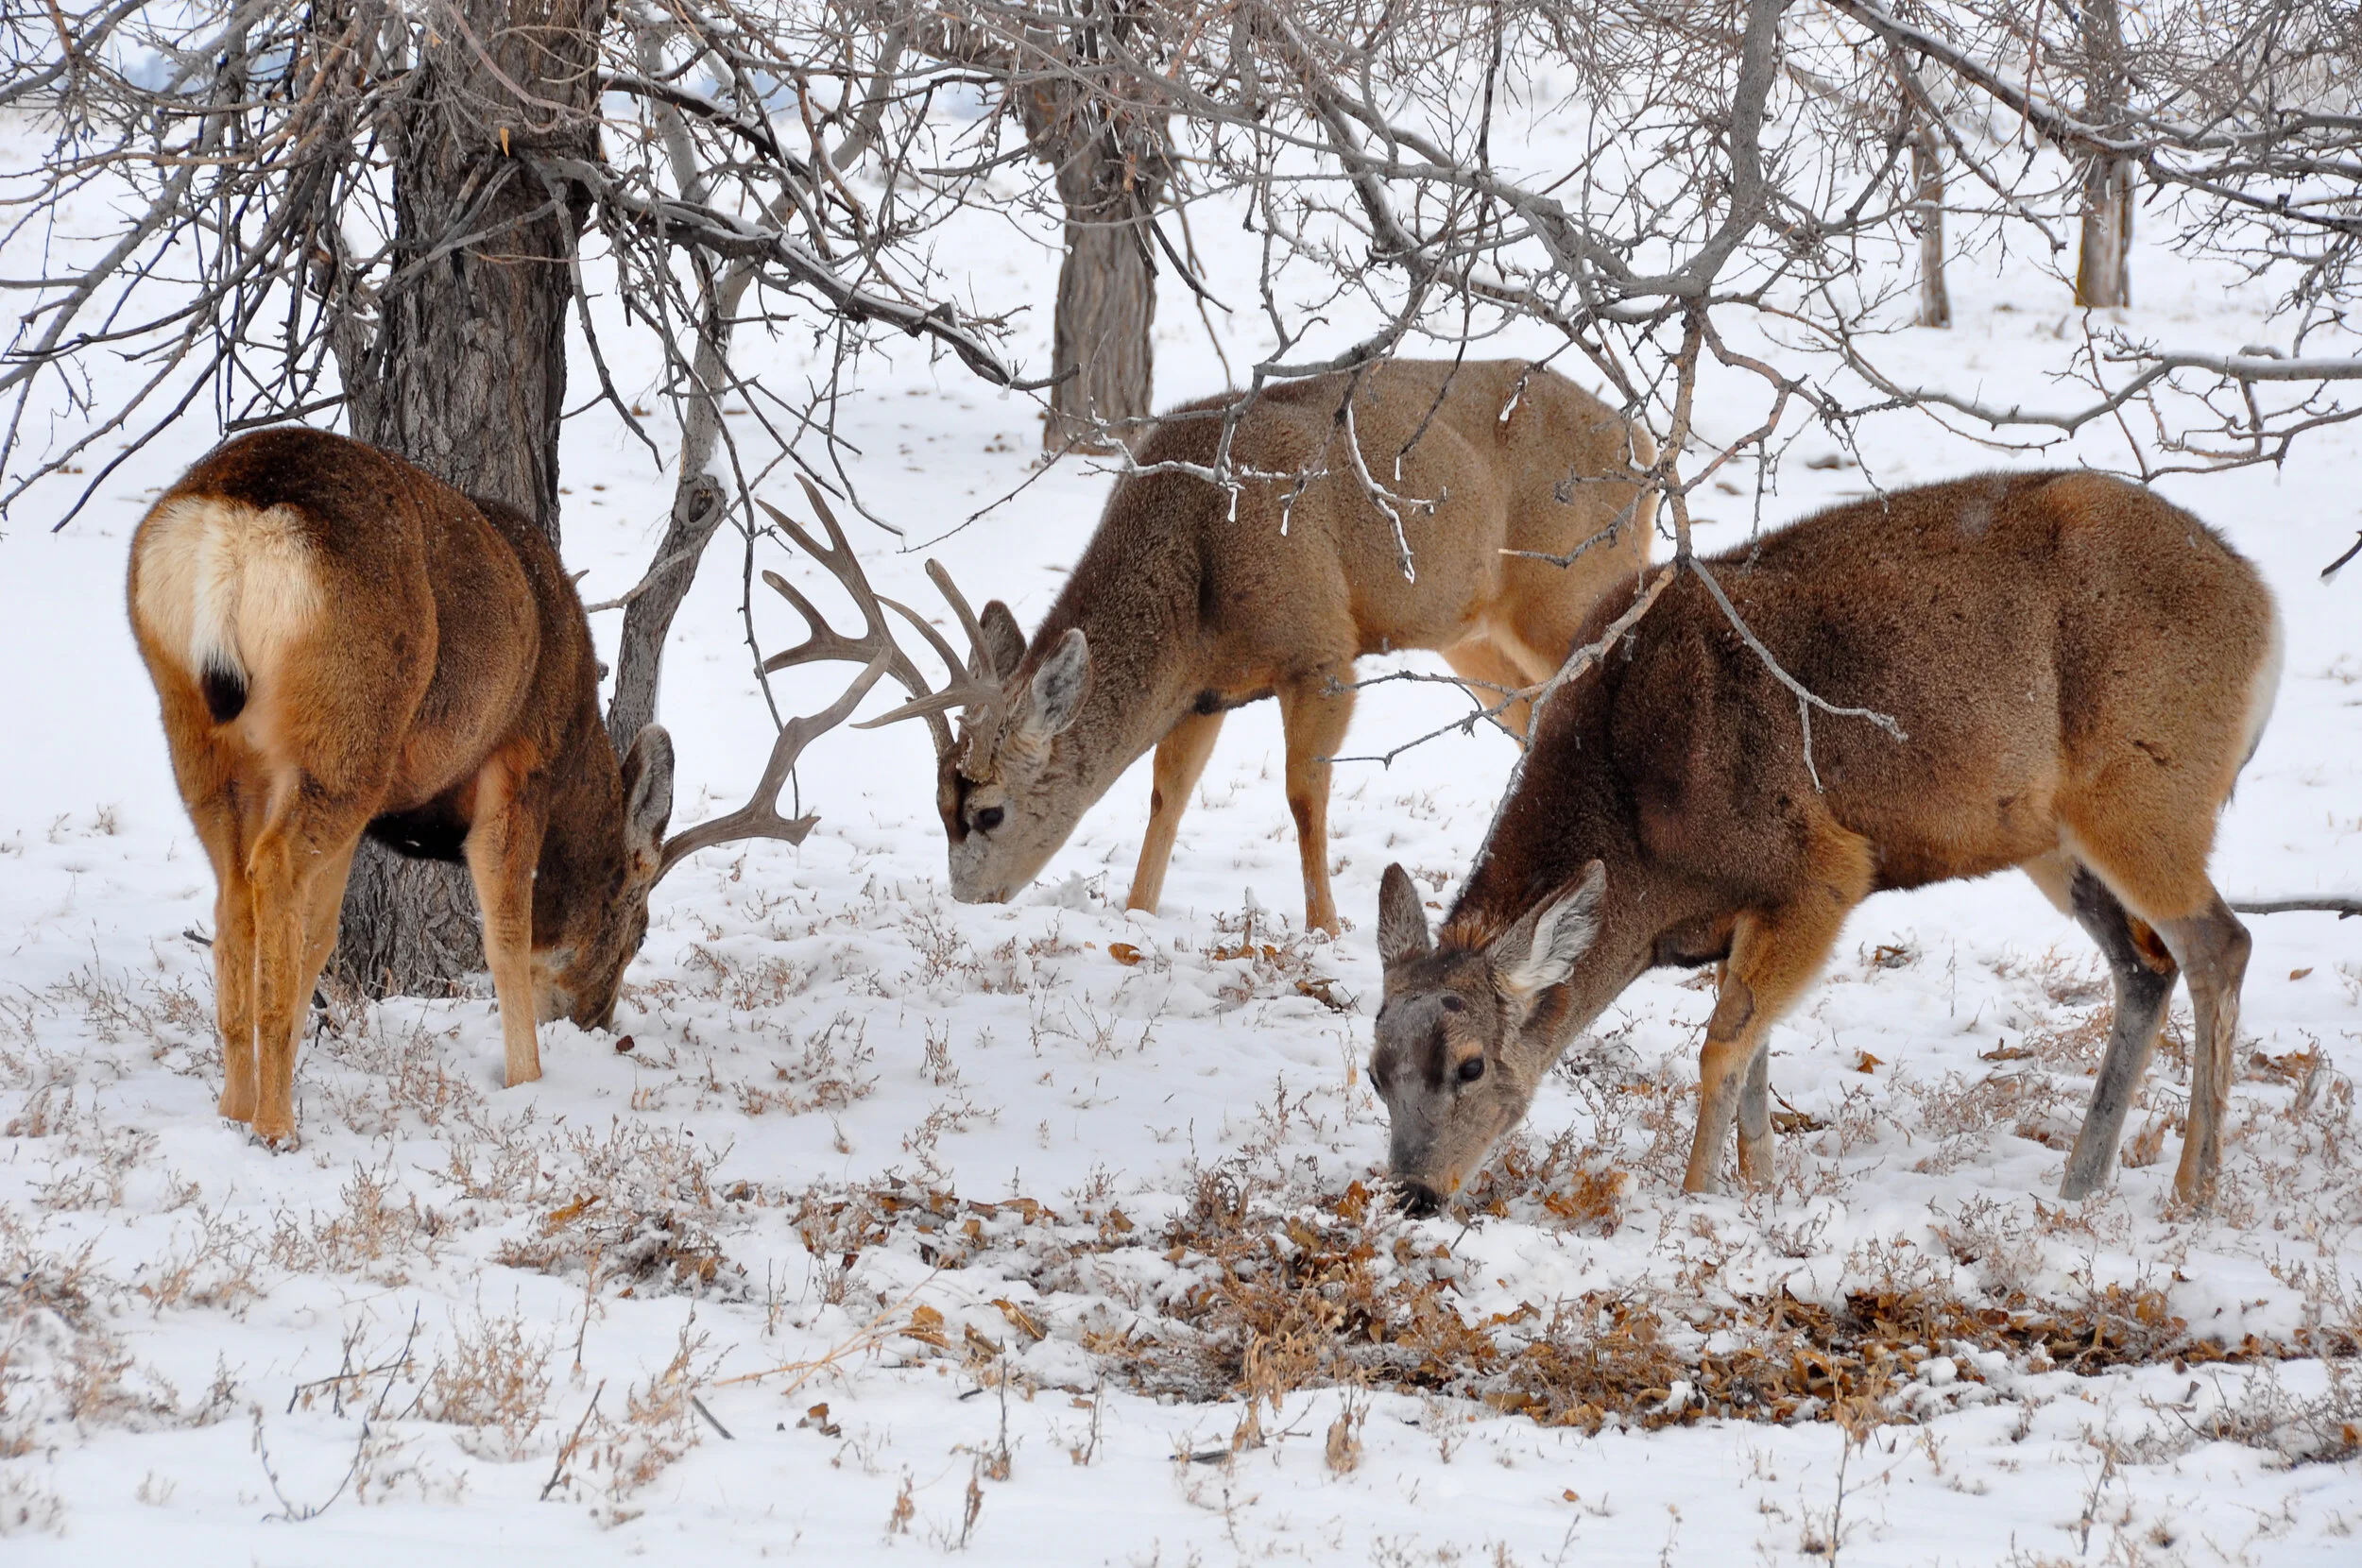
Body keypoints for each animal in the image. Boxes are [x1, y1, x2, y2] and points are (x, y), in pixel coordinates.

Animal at [128, 427, 893, 1148]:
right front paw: (528, 1078)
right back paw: (276, 1126)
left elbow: (320, 939)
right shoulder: (519, 762)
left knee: (234, 893)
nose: (596, 1021)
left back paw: (233, 1112)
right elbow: (505, 935)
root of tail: (234, 520)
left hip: (199, 730)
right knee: (273, 868)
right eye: (639, 930)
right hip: (349, 728)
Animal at [765, 358, 1656, 936]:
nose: (968, 904)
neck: (1197, 567)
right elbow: (1168, 793)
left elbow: (1303, 796)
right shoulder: (1204, 691)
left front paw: (1326, 929)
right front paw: (1138, 913)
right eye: (937, 806)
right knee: (1538, 719)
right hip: (1477, 644)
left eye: (988, 812)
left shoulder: (1320, 647)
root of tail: (1644, 442)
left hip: (1579, 587)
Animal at [1366, 470, 2282, 1215]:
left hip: (2145, 792)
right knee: (2146, 964)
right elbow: (1753, 1057)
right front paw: (1760, 1191)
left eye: (1471, 1065)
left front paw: (1698, 1201)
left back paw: (2193, 1192)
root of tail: (2266, 614)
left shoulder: (1820, 868)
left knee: (2221, 942)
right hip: (2052, 837)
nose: (1413, 1193)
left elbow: (1721, 1050)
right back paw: (2081, 1182)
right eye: (1375, 1072)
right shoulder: (1751, 912)